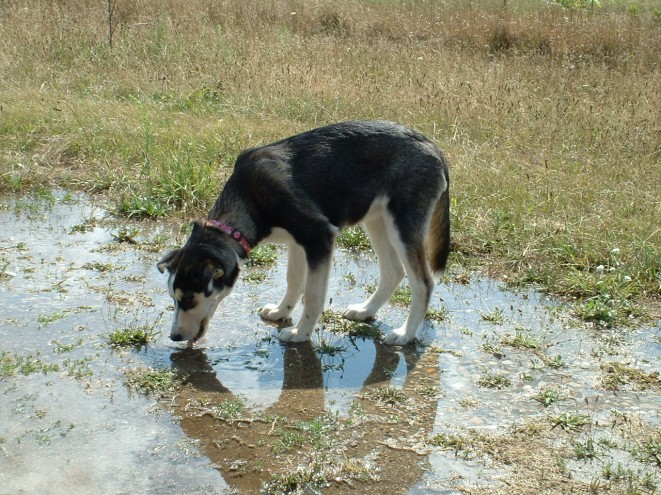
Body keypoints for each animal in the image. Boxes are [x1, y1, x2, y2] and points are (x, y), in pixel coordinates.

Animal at [159, 121, 448, 348]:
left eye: (188, 299)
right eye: (174, 299)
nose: (174, 337)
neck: (249, 199)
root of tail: (433, 147)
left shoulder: (319, 236)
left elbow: (312, 294)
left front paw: (300, 332)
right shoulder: (297, 241)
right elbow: (294, 281)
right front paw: (281, 311)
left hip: (402, 224)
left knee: (423, 283)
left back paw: (405, 335)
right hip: (377, 220)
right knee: (393, 272)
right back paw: (366, 311)